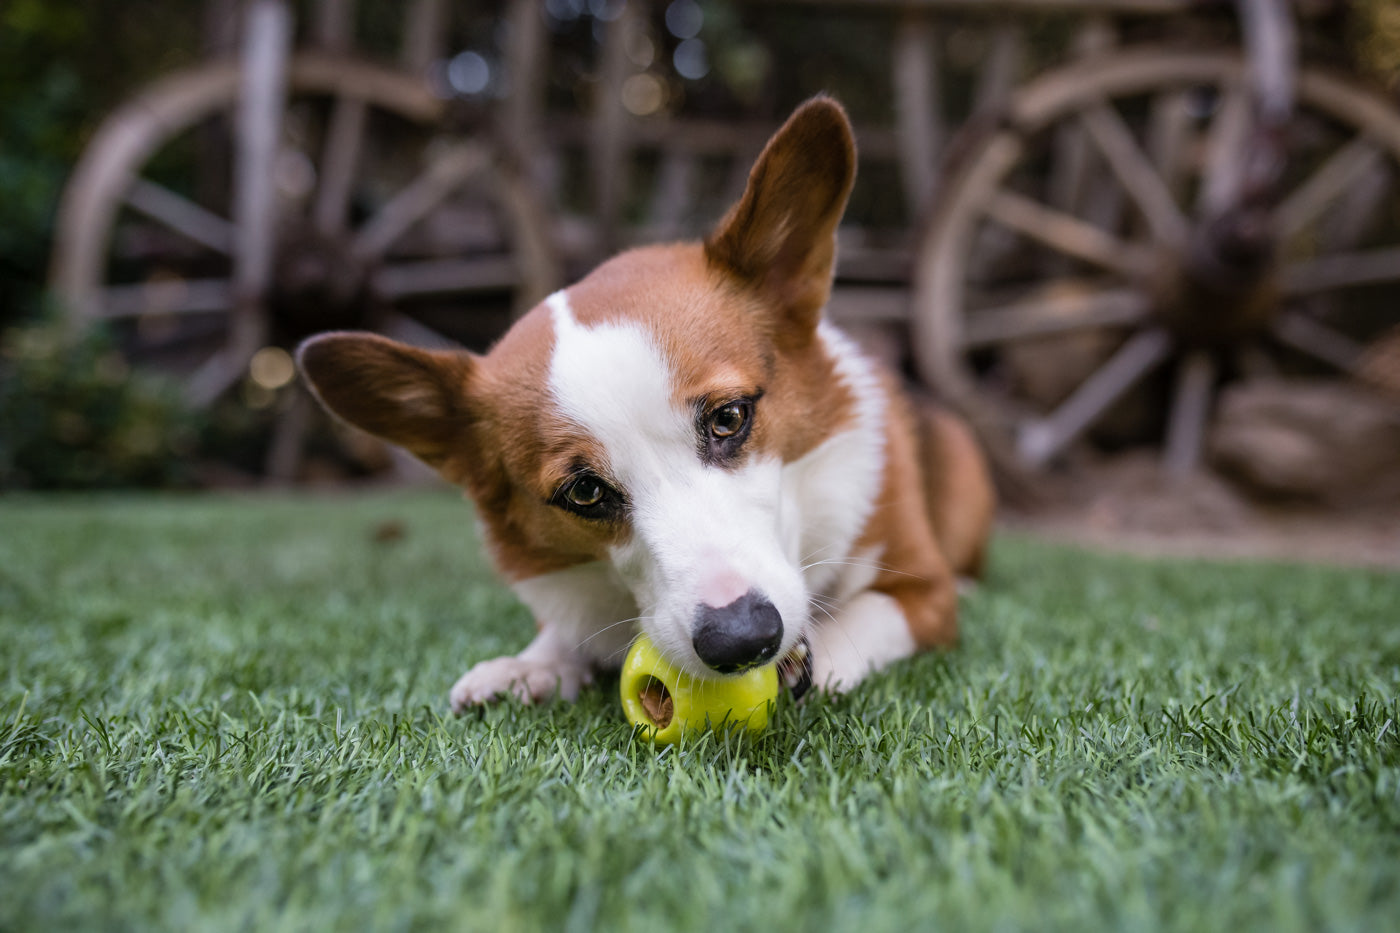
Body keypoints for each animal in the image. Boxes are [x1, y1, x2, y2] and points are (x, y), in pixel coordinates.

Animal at [298, 94, 996, 708]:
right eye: (584, 492)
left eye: (729, 418)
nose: (742, 640)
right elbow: (564, 630)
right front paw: (533, 664)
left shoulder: (922, 595)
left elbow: (860, 618)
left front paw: (816, 656)